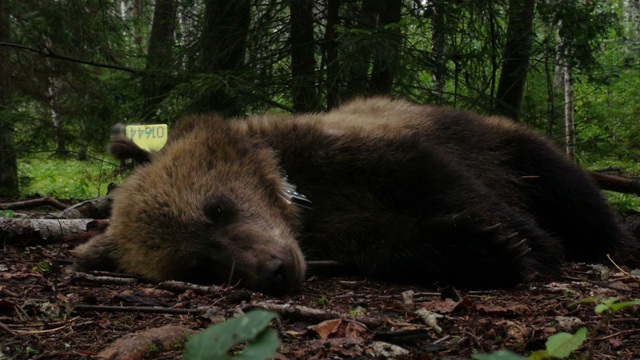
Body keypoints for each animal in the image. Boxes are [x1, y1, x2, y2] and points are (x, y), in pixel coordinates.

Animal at [72, 97, 640, 294]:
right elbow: (392, 241)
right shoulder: (340, 229)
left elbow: (445, 181)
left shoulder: (369, 153)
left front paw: (527, 242)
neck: (302, 201)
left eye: (217, 207)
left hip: (510, 145)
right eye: (197, 266)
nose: (275, 269)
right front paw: (487, 247)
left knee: (572, 193)